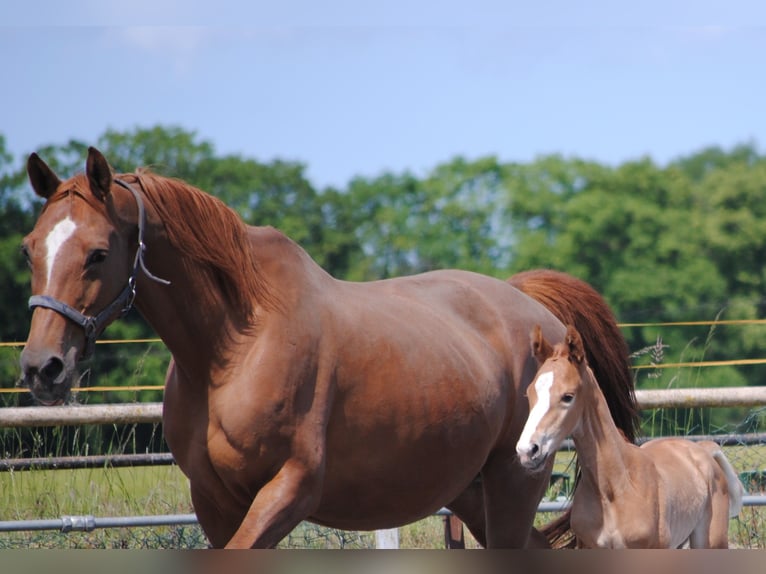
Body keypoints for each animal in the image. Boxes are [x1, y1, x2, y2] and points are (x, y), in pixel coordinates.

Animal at [19, 147, 639, 549]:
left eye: (98, 253)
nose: (42, 367)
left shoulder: (289, 489)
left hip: (514, 481)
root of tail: (536, 310)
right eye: (29, 247)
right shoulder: (215, 503)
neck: (233, 347)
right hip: (470, 491)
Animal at [516, 324, 744, 548]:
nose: (527, 450)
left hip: (711, 541)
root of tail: (702, 449)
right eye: (529, 393)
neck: (615, 487)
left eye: (567, 396)